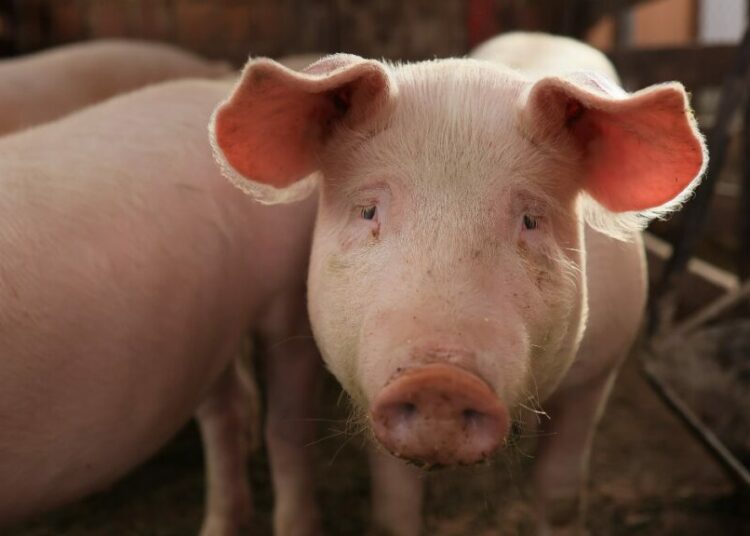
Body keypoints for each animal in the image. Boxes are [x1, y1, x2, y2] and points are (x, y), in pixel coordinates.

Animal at [0, 78, 321, 536]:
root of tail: (224, 89)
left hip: (288, 294)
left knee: (287, 427)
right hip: (208, 326)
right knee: (223, 416)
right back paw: (216, 527)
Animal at [210, 32, 706, 534]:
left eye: (531, 220)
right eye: (368, 211)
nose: (440, 381)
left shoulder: (598, 371)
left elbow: (560, 495)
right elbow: (394, 506)